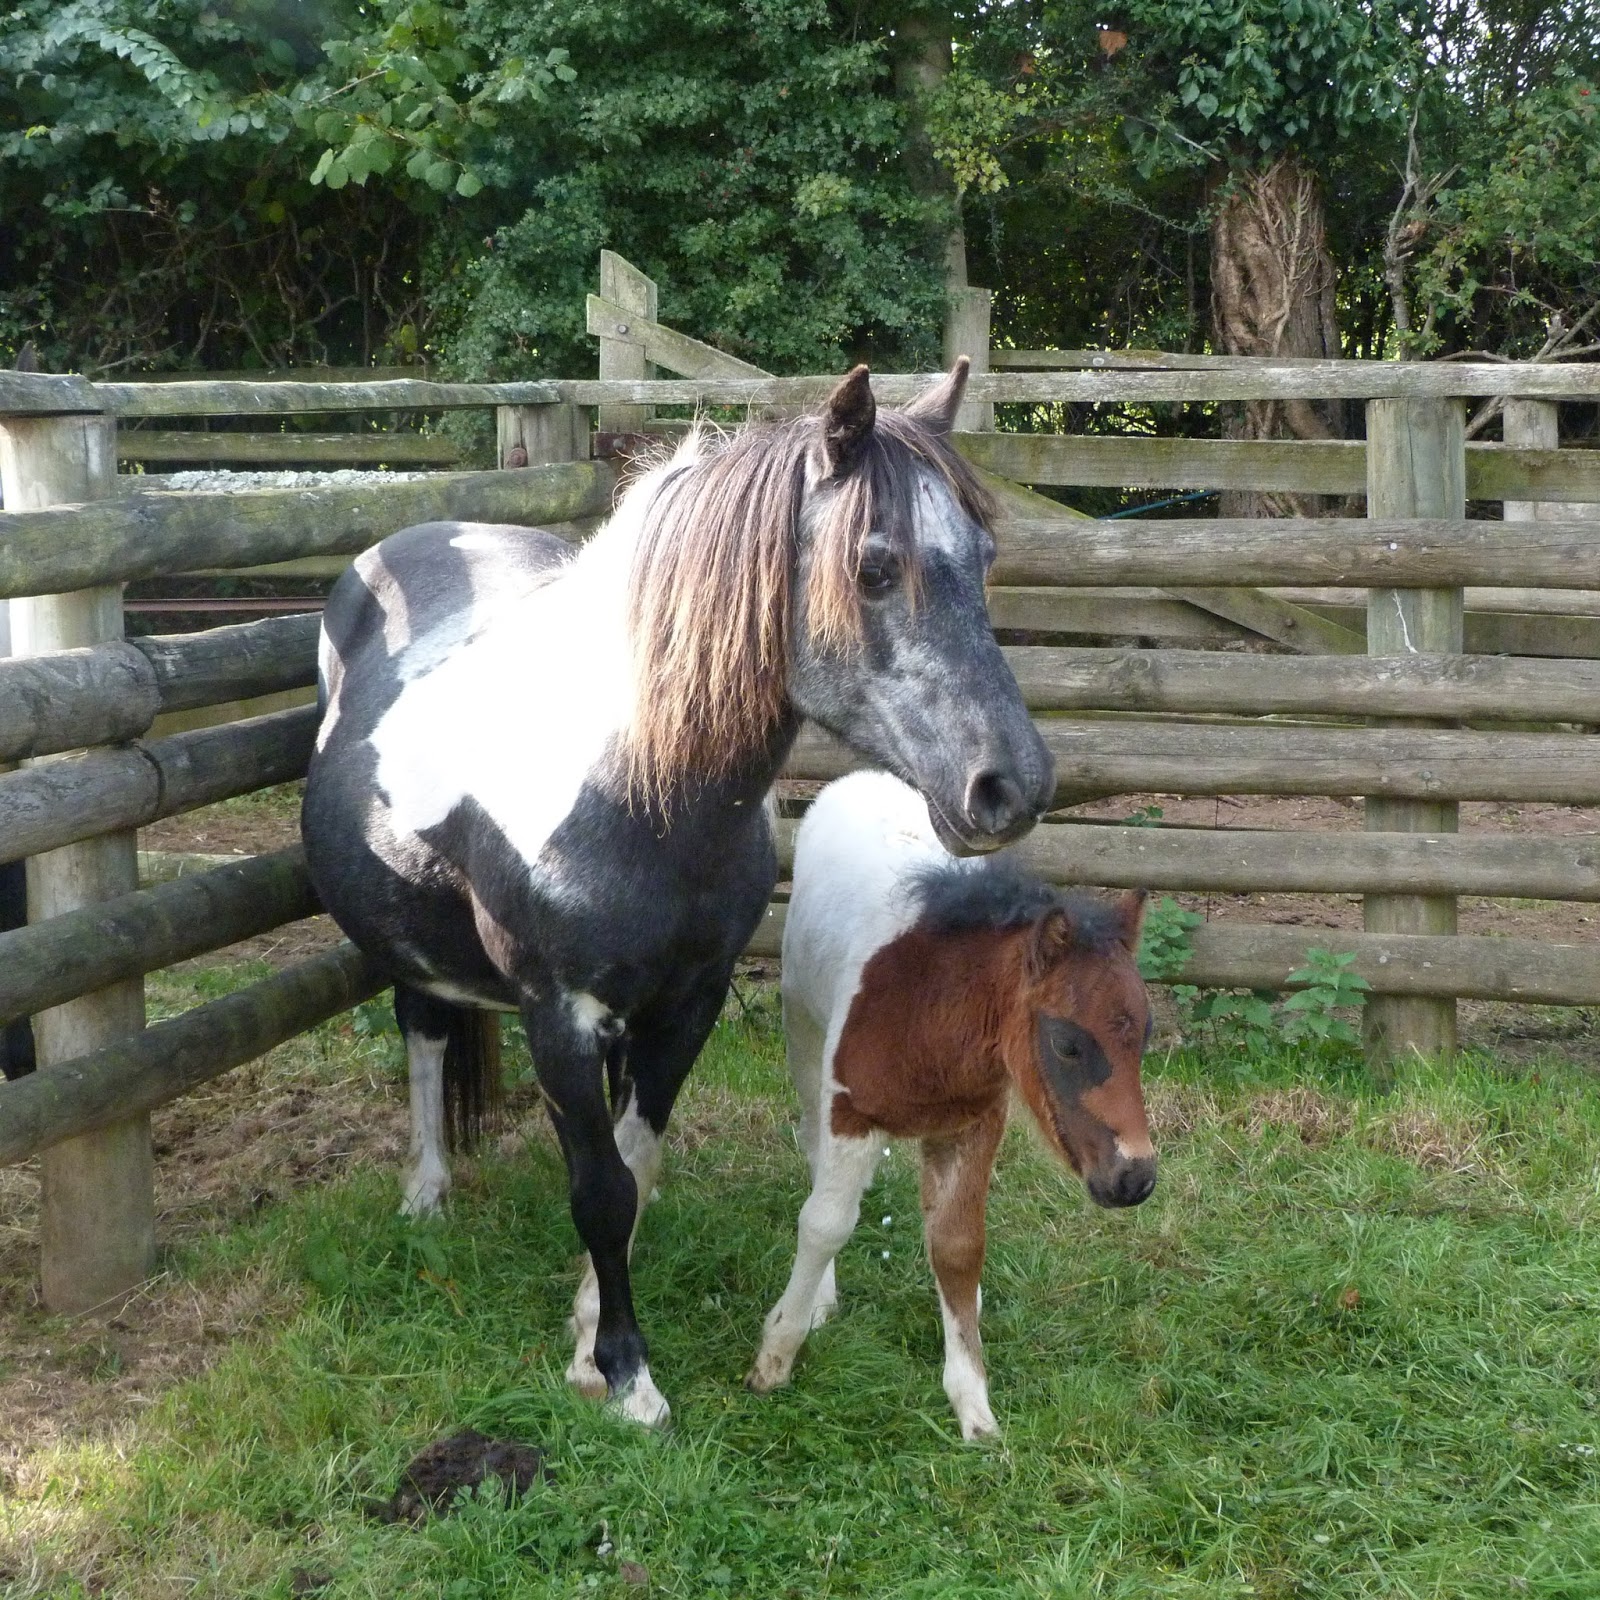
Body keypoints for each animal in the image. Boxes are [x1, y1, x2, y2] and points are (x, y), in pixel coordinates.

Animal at [300, 360, 1055, 1426]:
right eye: (874, 567)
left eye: (984, 555)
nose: (1011, 787)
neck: (632, 788)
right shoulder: (560, 1017)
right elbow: (600, 1189)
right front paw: (624, 1371)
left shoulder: (689, 1000)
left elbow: (635, 1161)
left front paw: (586, 1324)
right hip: (411, 946)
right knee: (424, 1030)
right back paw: (428, 1189)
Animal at [747, 770, 1155, 1440]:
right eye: (1067, 1044)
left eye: (1145, 1036)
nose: (1134, 1179)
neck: (932, 1009)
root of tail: (860, 777)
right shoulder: (850, 1111)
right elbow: (825, 1221)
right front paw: (777, 1352)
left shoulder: (974, 1124)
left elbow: (958, 1244)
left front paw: (974, 1405)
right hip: (802, 1034)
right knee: (811, 1150)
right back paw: (818, 1300)